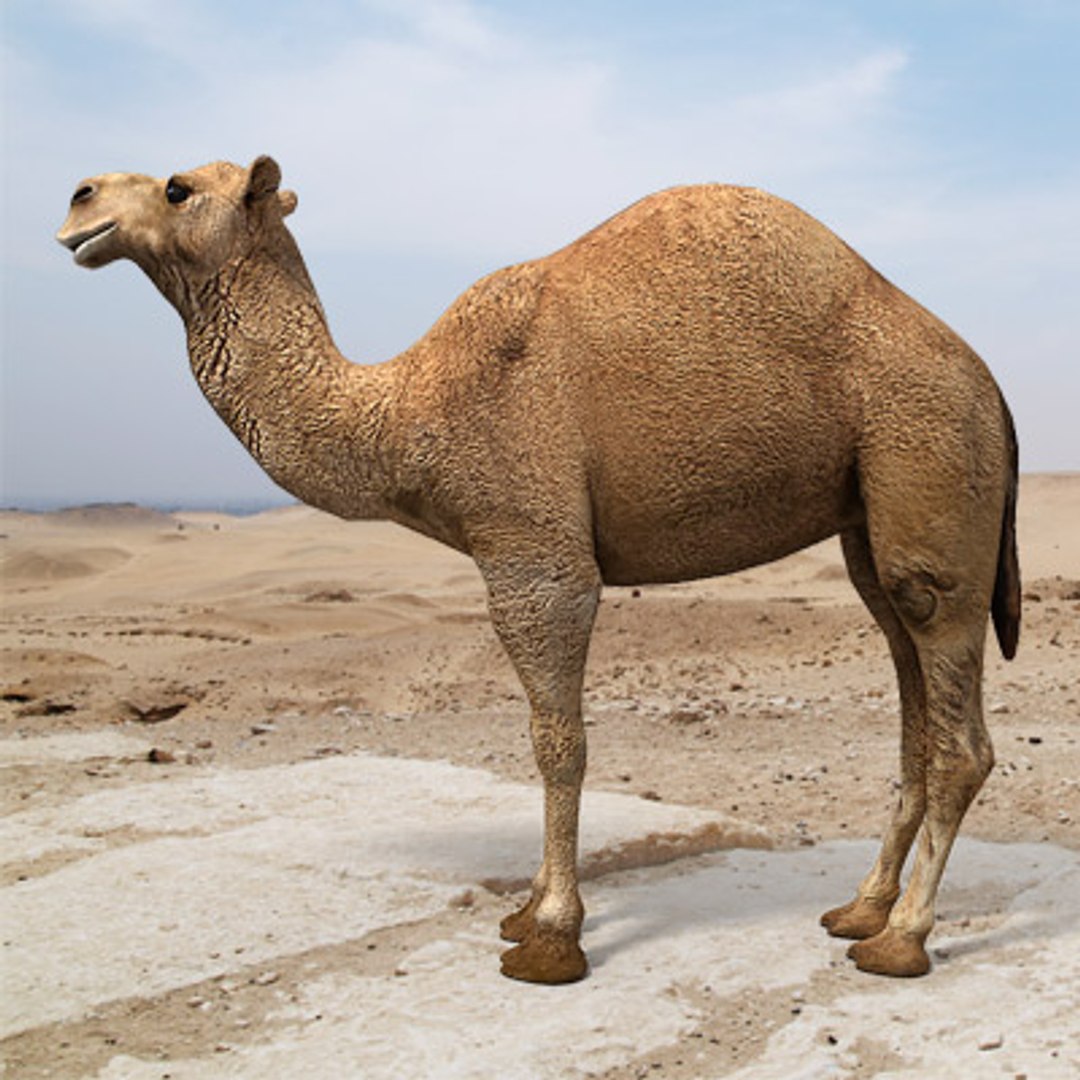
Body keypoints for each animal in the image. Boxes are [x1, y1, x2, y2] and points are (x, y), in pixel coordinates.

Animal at [57, 156, 1020, 985]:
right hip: (869, 512)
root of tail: (992, 384)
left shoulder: (533, 550)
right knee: (906, 679)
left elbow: (559, 744)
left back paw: (901, 941)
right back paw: (859, 911)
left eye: (177, 188)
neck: (406, 411)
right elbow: (550, 741)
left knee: (954, 710)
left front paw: (552, 937)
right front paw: (525, 912)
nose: (76, 198)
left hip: (926, 449)